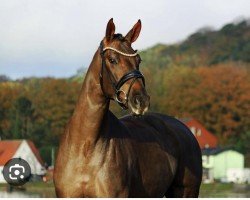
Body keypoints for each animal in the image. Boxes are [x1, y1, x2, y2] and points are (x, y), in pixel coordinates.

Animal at [53, 18, 202, 197]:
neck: (85, 146)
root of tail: (185, 129)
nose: (141, 100)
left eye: (138, 60)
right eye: (112, 59)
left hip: (185, 192)